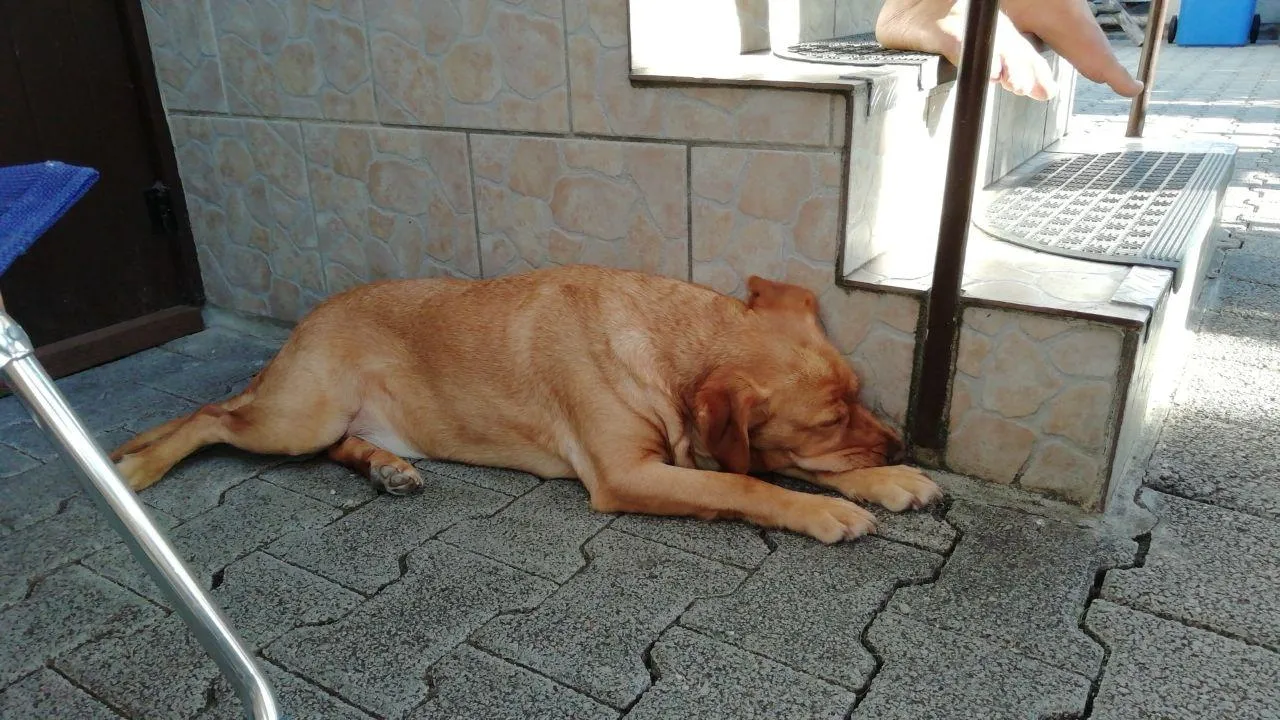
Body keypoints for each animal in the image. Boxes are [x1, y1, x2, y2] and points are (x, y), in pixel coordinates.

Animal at [112, 266, 942, 540]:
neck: (666, 341)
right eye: (829, 418)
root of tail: (304, 324)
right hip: (295, 414)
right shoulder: (628, 473)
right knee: (210, 417)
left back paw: (385, 467)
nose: (901, 444)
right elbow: (750, 484)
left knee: (335, 445)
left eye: (858, 398)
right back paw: (137, 467)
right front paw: (827, 510)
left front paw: (887, 479)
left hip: (334, 421)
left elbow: (776, 468)